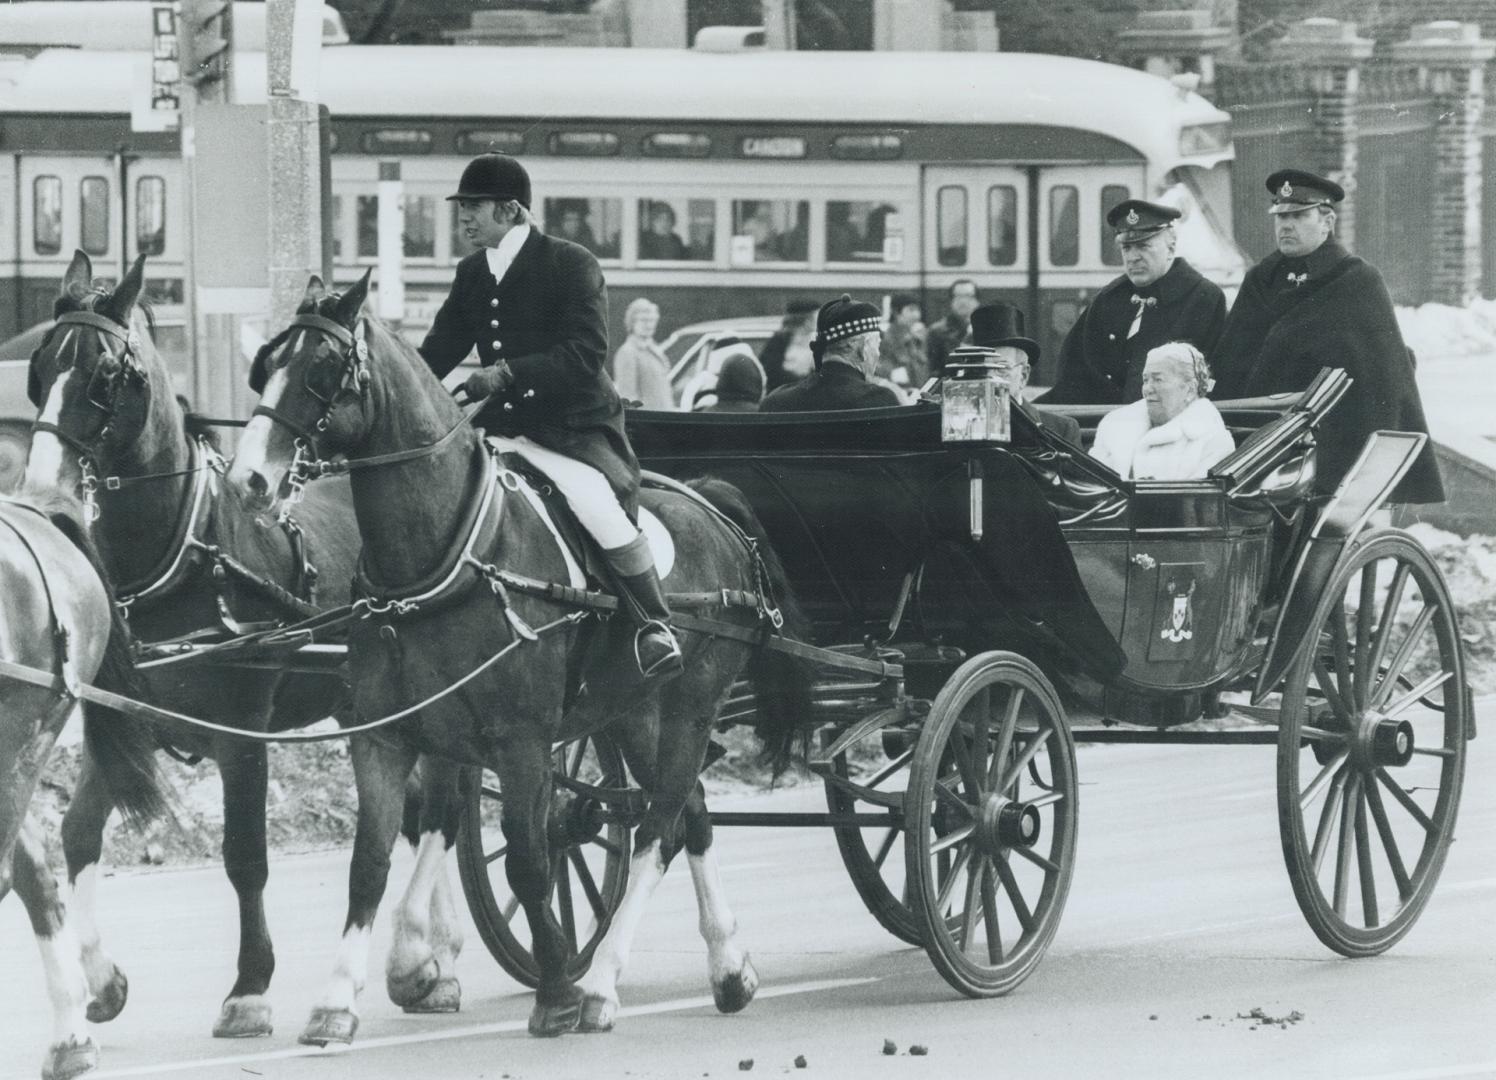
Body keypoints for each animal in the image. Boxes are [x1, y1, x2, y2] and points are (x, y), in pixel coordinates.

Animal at [23, 249, 454, 1035]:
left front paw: (250, 988)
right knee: (415, 812)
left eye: (104, 374)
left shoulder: (242, 730)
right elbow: (77, 835)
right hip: (364, 707)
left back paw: (423, 952)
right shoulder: (126, 717)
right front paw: (101, 978)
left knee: (444, 809)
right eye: (40, 367)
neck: (188, 553)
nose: (39, 483)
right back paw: (431, 957)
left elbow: (245, 855)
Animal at [227, 273, 813, 1041]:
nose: (248, 481)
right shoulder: (386, 737)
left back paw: (602, 984)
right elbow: (370, 864)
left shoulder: (522, 740)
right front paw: (337, 1002)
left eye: (323, 370)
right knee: (691, 816)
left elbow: (530, 862)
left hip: (690, 708)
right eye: (266, 364)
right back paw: (727, 967)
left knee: (657, 828)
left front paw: (556, 990)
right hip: (634, 713)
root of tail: (712, 506)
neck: (449, 555)